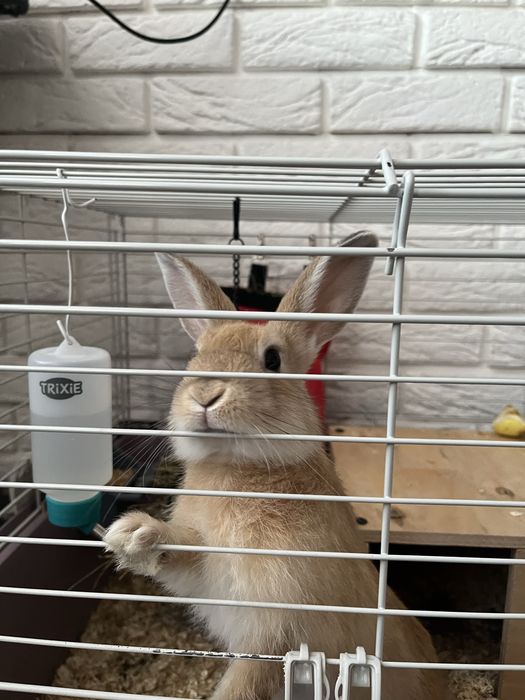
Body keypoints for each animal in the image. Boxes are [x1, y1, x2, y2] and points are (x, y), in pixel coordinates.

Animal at [104, 231, 449, 700]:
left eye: (272, 359)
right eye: (197, 355)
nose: (206, 396)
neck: (237, 469)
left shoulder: (278, 632)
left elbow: (246, 685)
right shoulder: (207, 572)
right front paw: (132, 535)